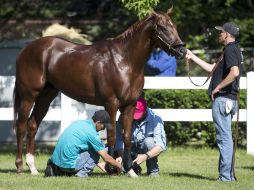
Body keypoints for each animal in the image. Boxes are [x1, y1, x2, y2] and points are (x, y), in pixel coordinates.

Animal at [13, 8, 186, 175]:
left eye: (175, 26)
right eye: (162, 27)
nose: (182, 51)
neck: (124, 61)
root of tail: (26, 50)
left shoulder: (129, 105)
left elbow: (127, 137)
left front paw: (129, 169)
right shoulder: (111, 104)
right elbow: (111, 136)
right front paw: (112, 168)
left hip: (46, 96)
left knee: (32, 125)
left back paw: (33, 168)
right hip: (28, 96)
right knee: (21, 126)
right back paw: (20, 166)